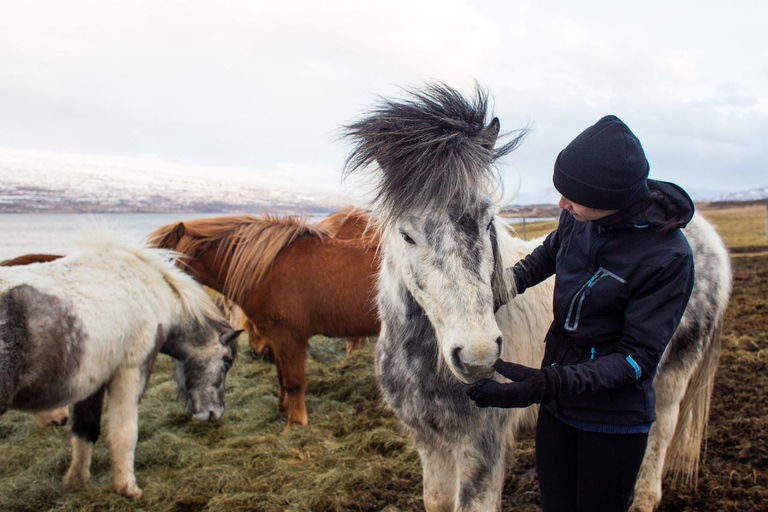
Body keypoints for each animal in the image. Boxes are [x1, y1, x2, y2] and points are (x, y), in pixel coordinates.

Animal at [0, 233, 240, 499]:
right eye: (227, 362)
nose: (215, 414)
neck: (149, 292)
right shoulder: (131, 370)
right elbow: (124, 432)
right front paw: (127, 487)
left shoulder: (93, 382)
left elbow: (85, 430)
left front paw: (76, 482)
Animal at [149, 213, 380, 427]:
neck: (268, 271)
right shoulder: (277, 340)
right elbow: (281, 376)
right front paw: (283, 407)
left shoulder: (290, 339)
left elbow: (294, 382)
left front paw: (295, 424)